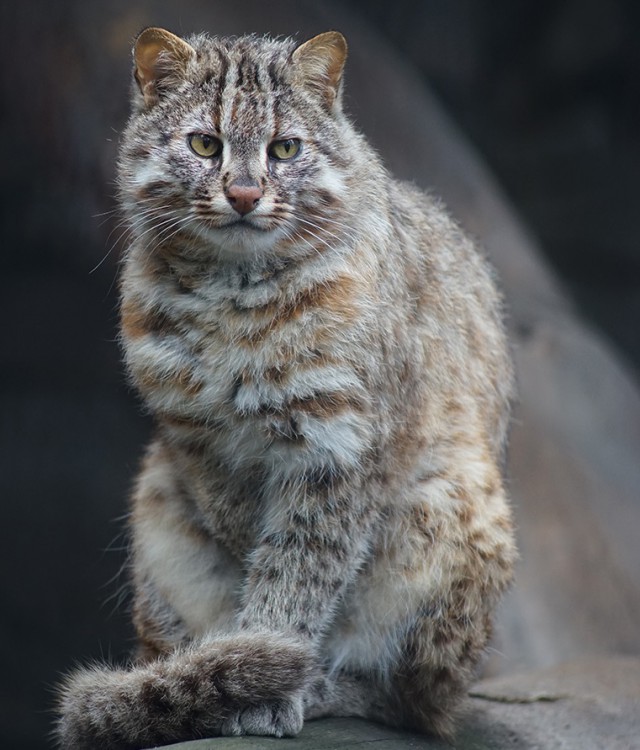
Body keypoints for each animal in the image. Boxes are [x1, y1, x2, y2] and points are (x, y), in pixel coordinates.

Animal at [53, 26, 516, 748]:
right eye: (205, 144)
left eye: (285, 149)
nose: (244, 196)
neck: (235, 293)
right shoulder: (194, 439)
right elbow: (248, 545)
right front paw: (239, 665)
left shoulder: (339, 448)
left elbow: (300, 568)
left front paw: (266, 671)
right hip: (154, 500)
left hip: (461, 502)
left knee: (421, 703)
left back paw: (322, 684)